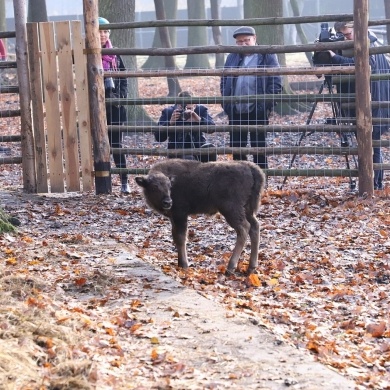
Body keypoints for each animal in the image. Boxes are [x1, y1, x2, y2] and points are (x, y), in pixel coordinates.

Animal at [136, 158, 266, 274]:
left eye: (169, 186)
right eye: (154, 187)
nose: (168, 202)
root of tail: (249, 167)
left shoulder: (180, 215)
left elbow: (181, 238)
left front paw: (184, 265)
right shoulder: (173, 218)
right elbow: (175, 237)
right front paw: (179, 263)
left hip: (231, 210)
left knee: (244, 228)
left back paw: (230, 268)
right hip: (247, 210)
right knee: (255, 227)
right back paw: (251, 268)